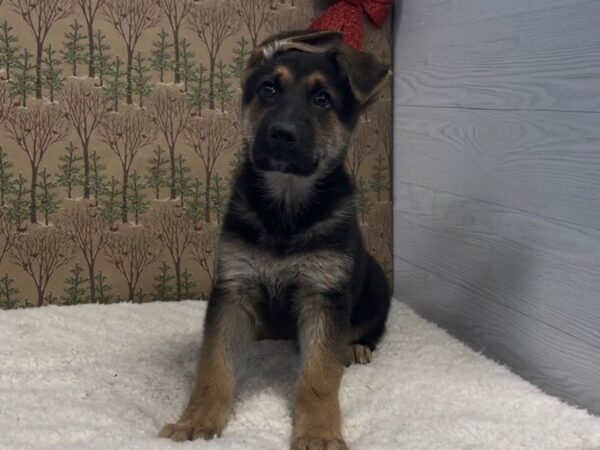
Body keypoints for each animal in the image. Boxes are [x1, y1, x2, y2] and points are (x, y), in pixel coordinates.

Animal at [159, 30, 392, 450]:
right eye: (268, 89)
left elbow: (318, 377)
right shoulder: (233, 289)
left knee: (367, 329)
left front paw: (319, 432)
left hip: (377, 285)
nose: (281, 134)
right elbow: (213, 364)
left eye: (322, 99)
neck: (286, 206)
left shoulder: (324, 296)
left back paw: (355, 346)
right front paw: (197, 420)